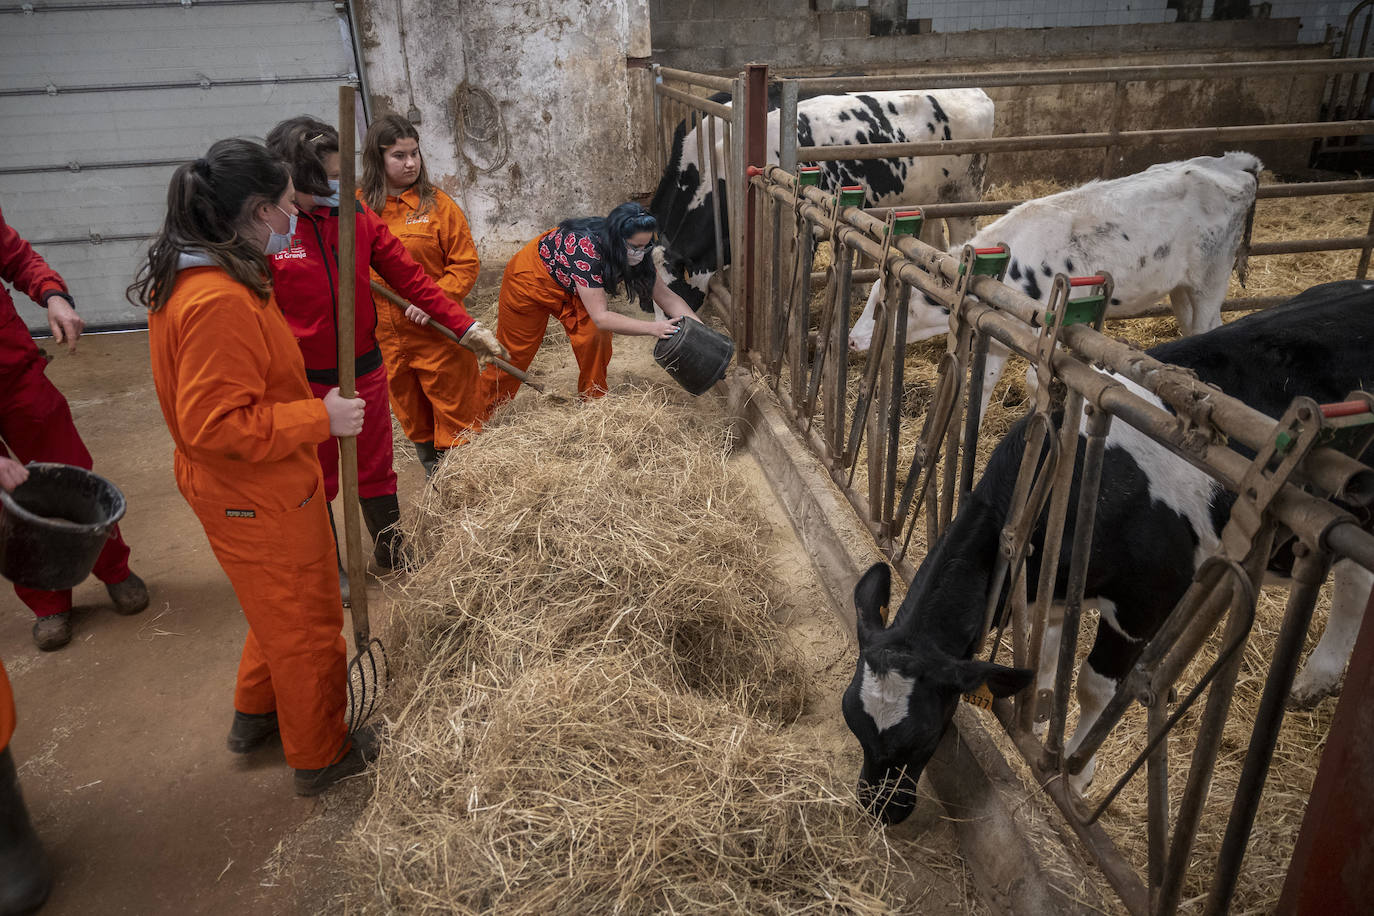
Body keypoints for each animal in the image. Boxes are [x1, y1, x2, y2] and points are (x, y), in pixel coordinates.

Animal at [648, 89, 994, 311]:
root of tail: (975, 91)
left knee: (962, 235)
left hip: (964, 193)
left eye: (675, 289)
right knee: (936, 242)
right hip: (929, 198)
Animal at [835, 281, 1374, 823]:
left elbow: (1094, 685)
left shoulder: (1144, 603)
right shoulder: (1049, 586)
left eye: (925, 735)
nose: (878, 810)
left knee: (1355, 578)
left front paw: (1074, 773)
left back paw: (1315, 676)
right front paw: (1040, 709)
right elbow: (1043, 653)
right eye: (852, 719)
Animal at [846, 153, 1264, 409]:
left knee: (1209, 324)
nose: (852, 339)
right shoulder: (999, 332)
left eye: (886, 298)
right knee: (1195, 327)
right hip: (1181, 289)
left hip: (1211, 279)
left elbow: (1035, 384)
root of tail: (1233, 162)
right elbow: (981, 384)